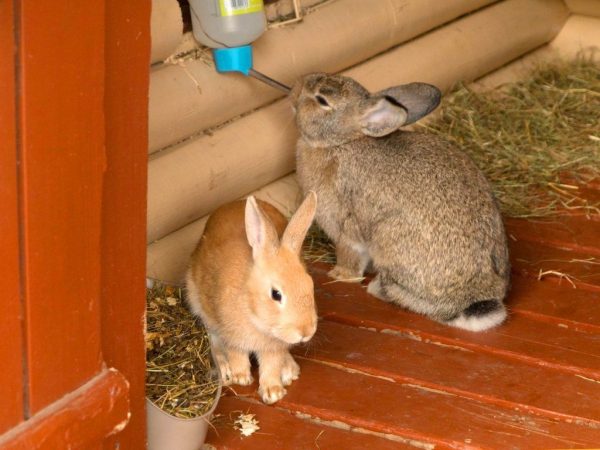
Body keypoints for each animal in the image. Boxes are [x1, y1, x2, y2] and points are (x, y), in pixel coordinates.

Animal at [186, 192, 318, 402]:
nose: (306, 332)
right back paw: (225, 370)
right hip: (198, 302)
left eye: (310, 284)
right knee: (213, 339)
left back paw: (289, 369)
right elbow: (236, 352)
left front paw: (273, 392)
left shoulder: (273, 347)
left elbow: (271, 365)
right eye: (276, 294)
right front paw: (241, 377)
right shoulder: (231, 335)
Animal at [292, 74, 508, 330]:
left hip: (388, 238)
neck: (341, 143)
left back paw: (377, 288)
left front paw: (339, 276)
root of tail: (474, 298)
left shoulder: (346, 225)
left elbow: (350, 253)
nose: (295, 87)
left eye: (322, 100)